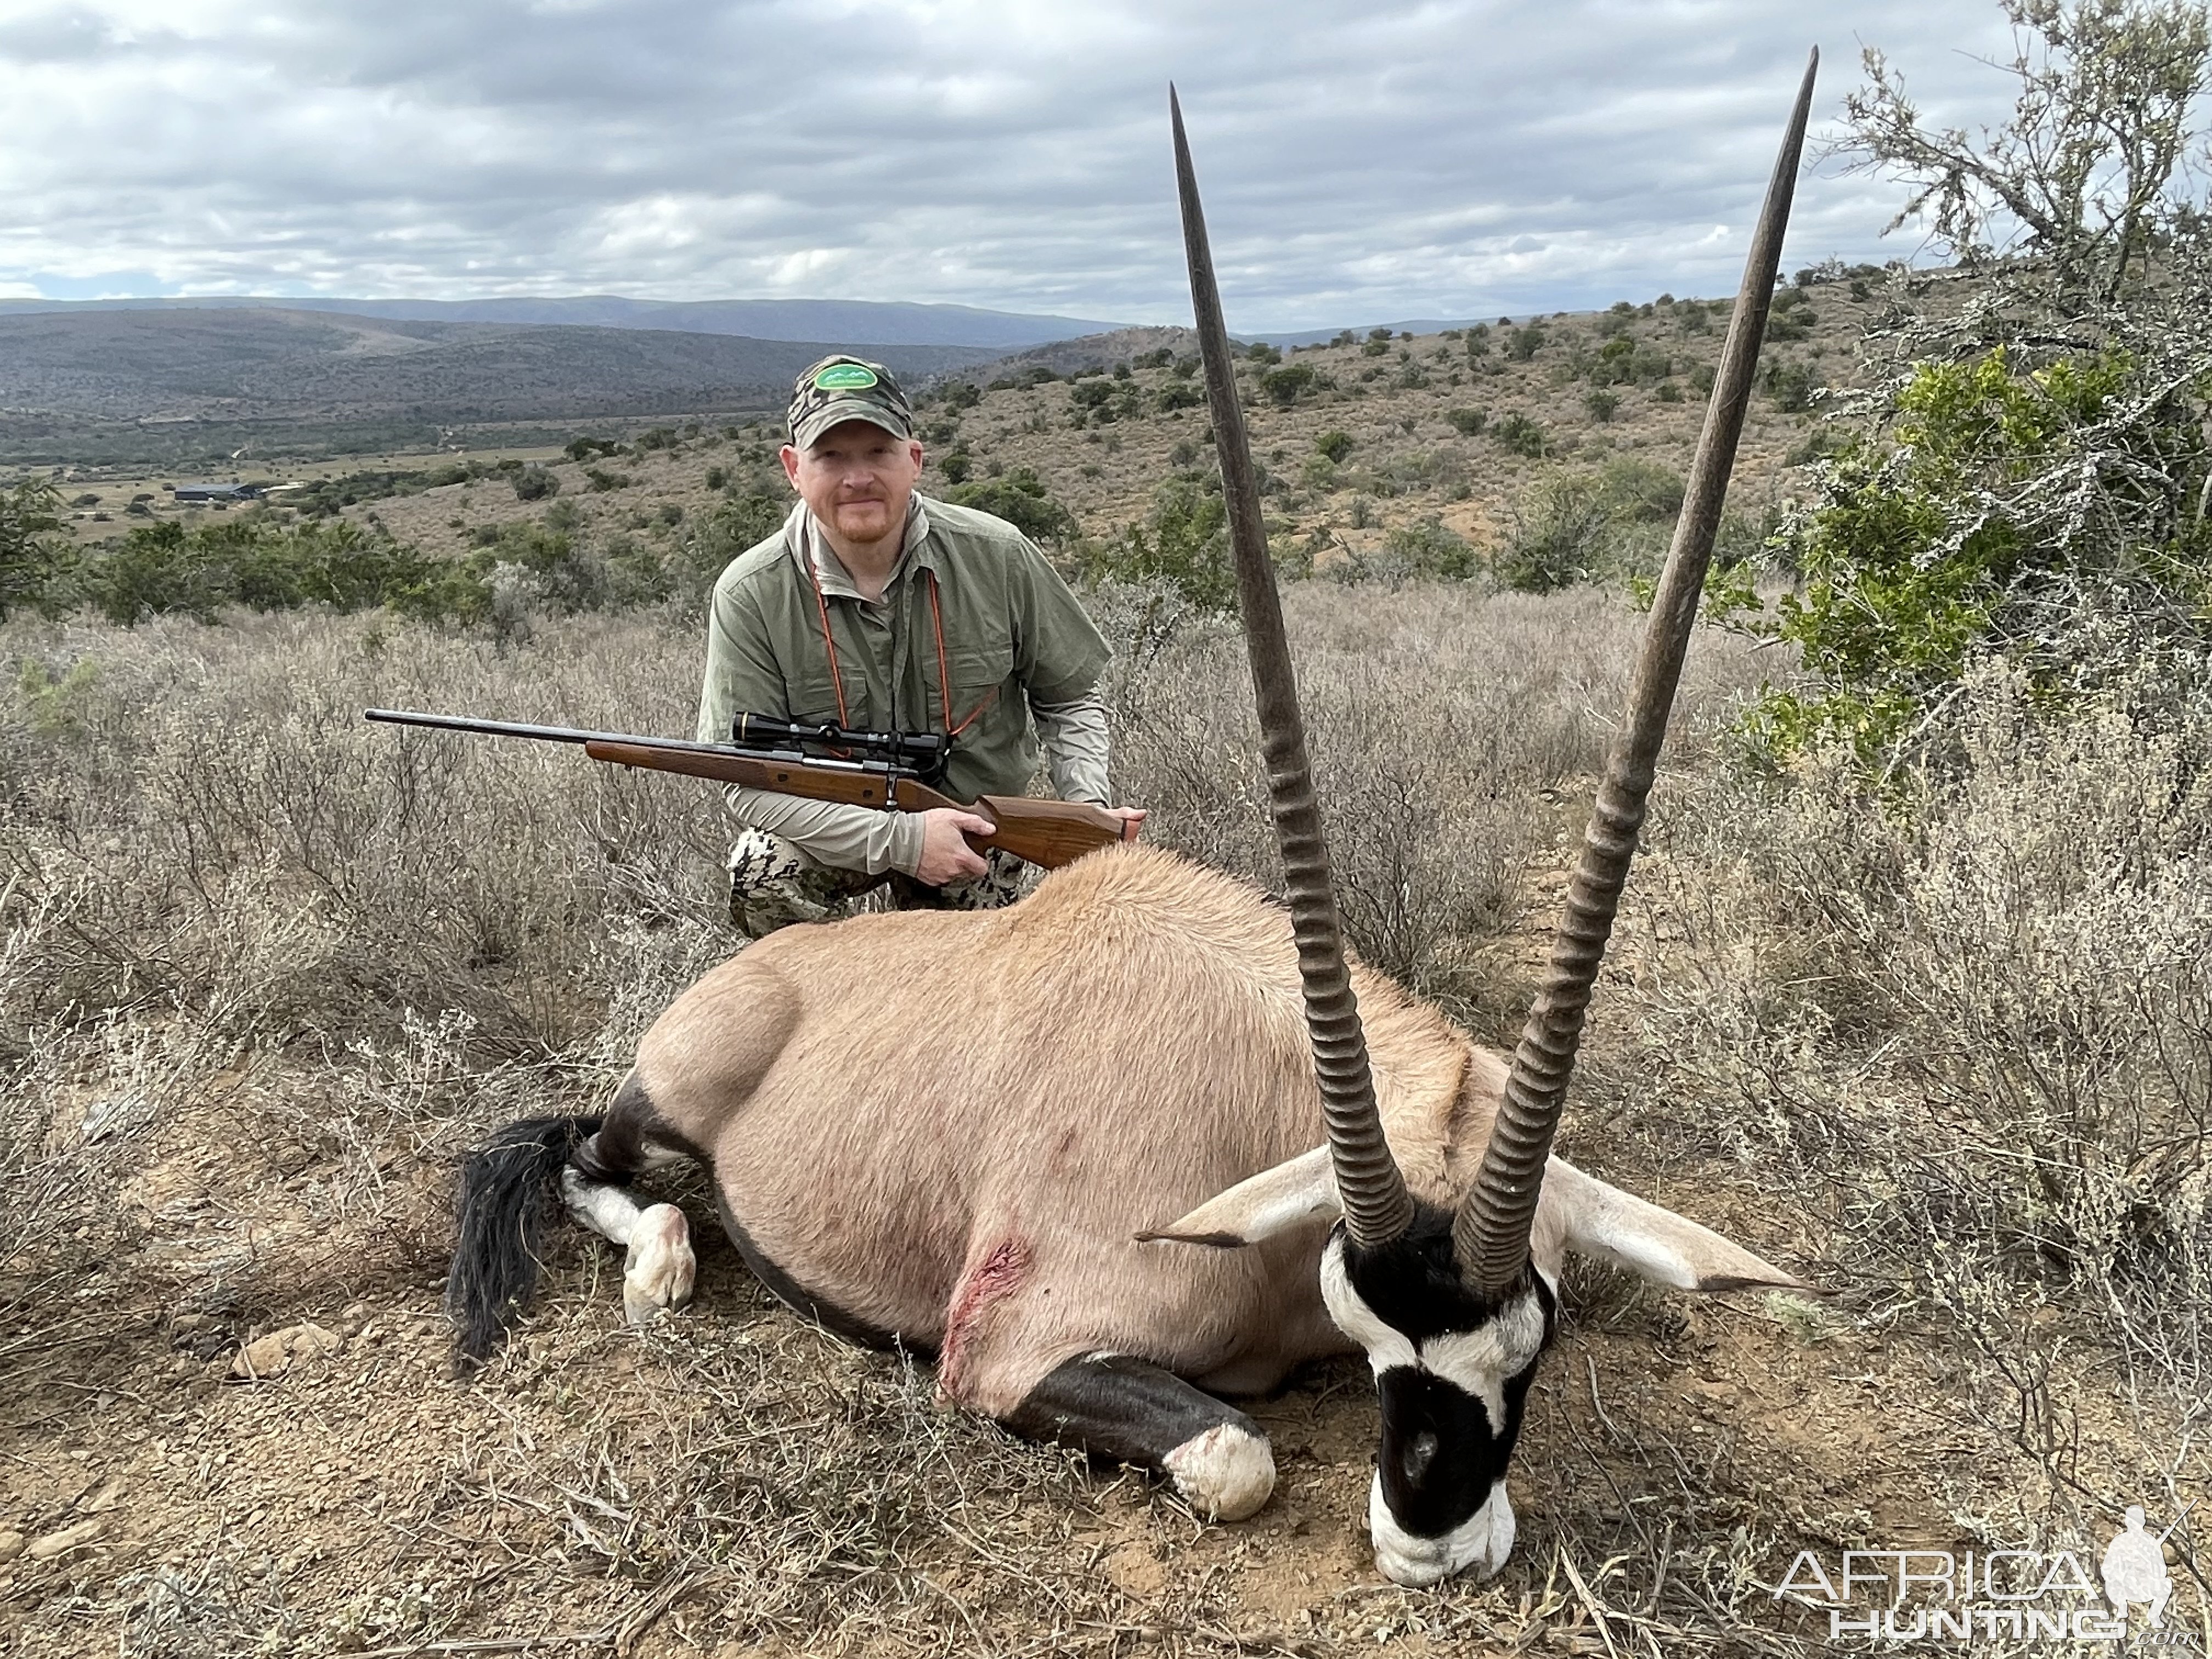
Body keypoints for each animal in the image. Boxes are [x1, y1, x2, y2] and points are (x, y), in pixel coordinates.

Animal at [444, 58, 1814, 1593]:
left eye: (1535, 1335)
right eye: (1369, 1322)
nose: (1432, 1537)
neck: (1261, 1094)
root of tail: (755, 974)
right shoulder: (1005, 1352)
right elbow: (1233, 1455)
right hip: (665, 1100)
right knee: (596, 1165)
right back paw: (667, 1265)